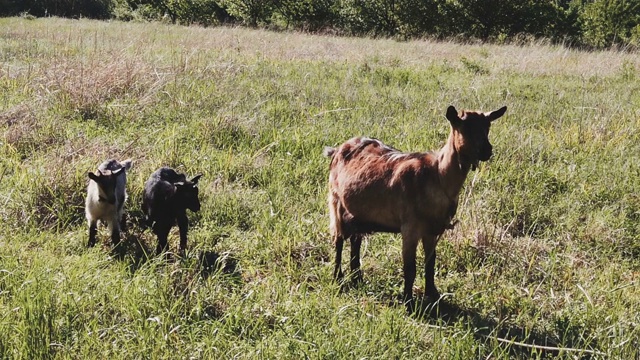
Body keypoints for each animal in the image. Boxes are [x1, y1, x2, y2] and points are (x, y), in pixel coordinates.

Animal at [324, 104, 504, 310]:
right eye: (464, 127)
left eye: (488, 126)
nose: (487, 150)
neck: (437, 175)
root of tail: (337, 149)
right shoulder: (410, 227)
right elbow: (410, 268)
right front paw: (409, 303)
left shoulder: (432, 230)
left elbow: (430, 263)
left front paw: (433, 296)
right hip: (336, 202)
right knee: (338, 240)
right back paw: (338, 279)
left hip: (358, 212)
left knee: (355, 241)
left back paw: (357, 279)